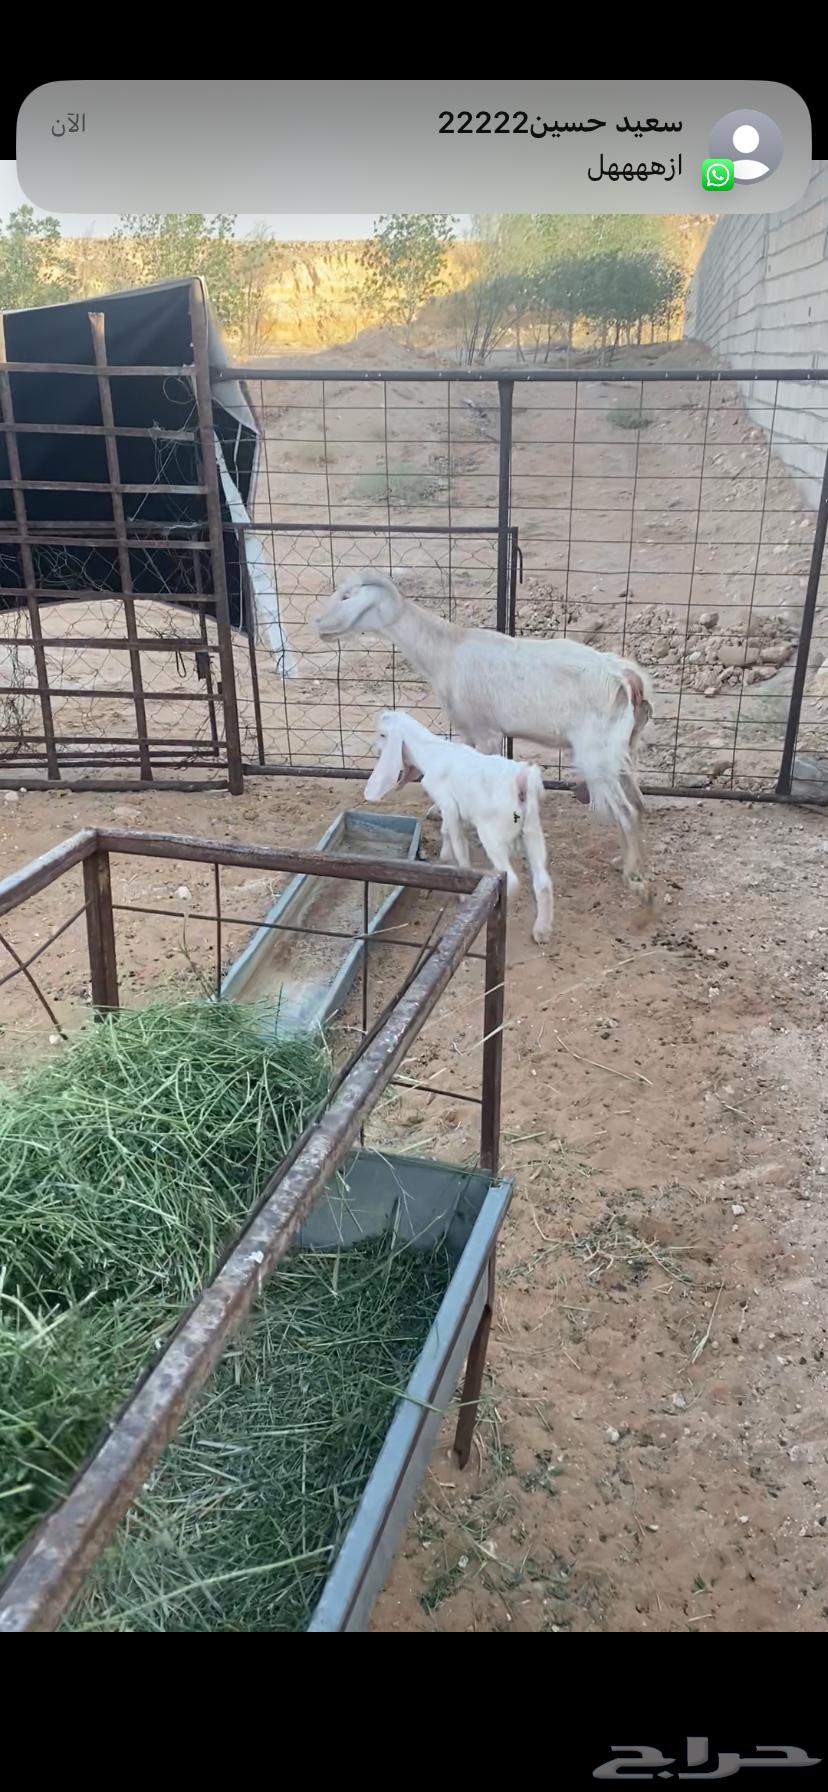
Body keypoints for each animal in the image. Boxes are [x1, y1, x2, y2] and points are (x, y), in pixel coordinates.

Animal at [317, 571, 654, 900]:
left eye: (346, 596)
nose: (318, 624)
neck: (446, 651)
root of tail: (626, 677)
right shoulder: (467, 731)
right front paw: (439, 813)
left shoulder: (487, 732)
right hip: (620, 751)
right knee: (638, 803)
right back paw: (624, 860)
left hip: (596, 755)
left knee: (626, 811)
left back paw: (632, 874)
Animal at [363, 710, 553, 944]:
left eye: (381, 734)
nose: (376, 750)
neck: (432, 752)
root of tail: (521, 783)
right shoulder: (455, 810)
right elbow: (446, 832)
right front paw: (444, 858)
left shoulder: (448, 805)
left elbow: (458, 844)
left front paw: (462, 889)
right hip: (532, 831)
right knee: (543, 882)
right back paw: (542, 931)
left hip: (492, 835)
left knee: (512, 880)